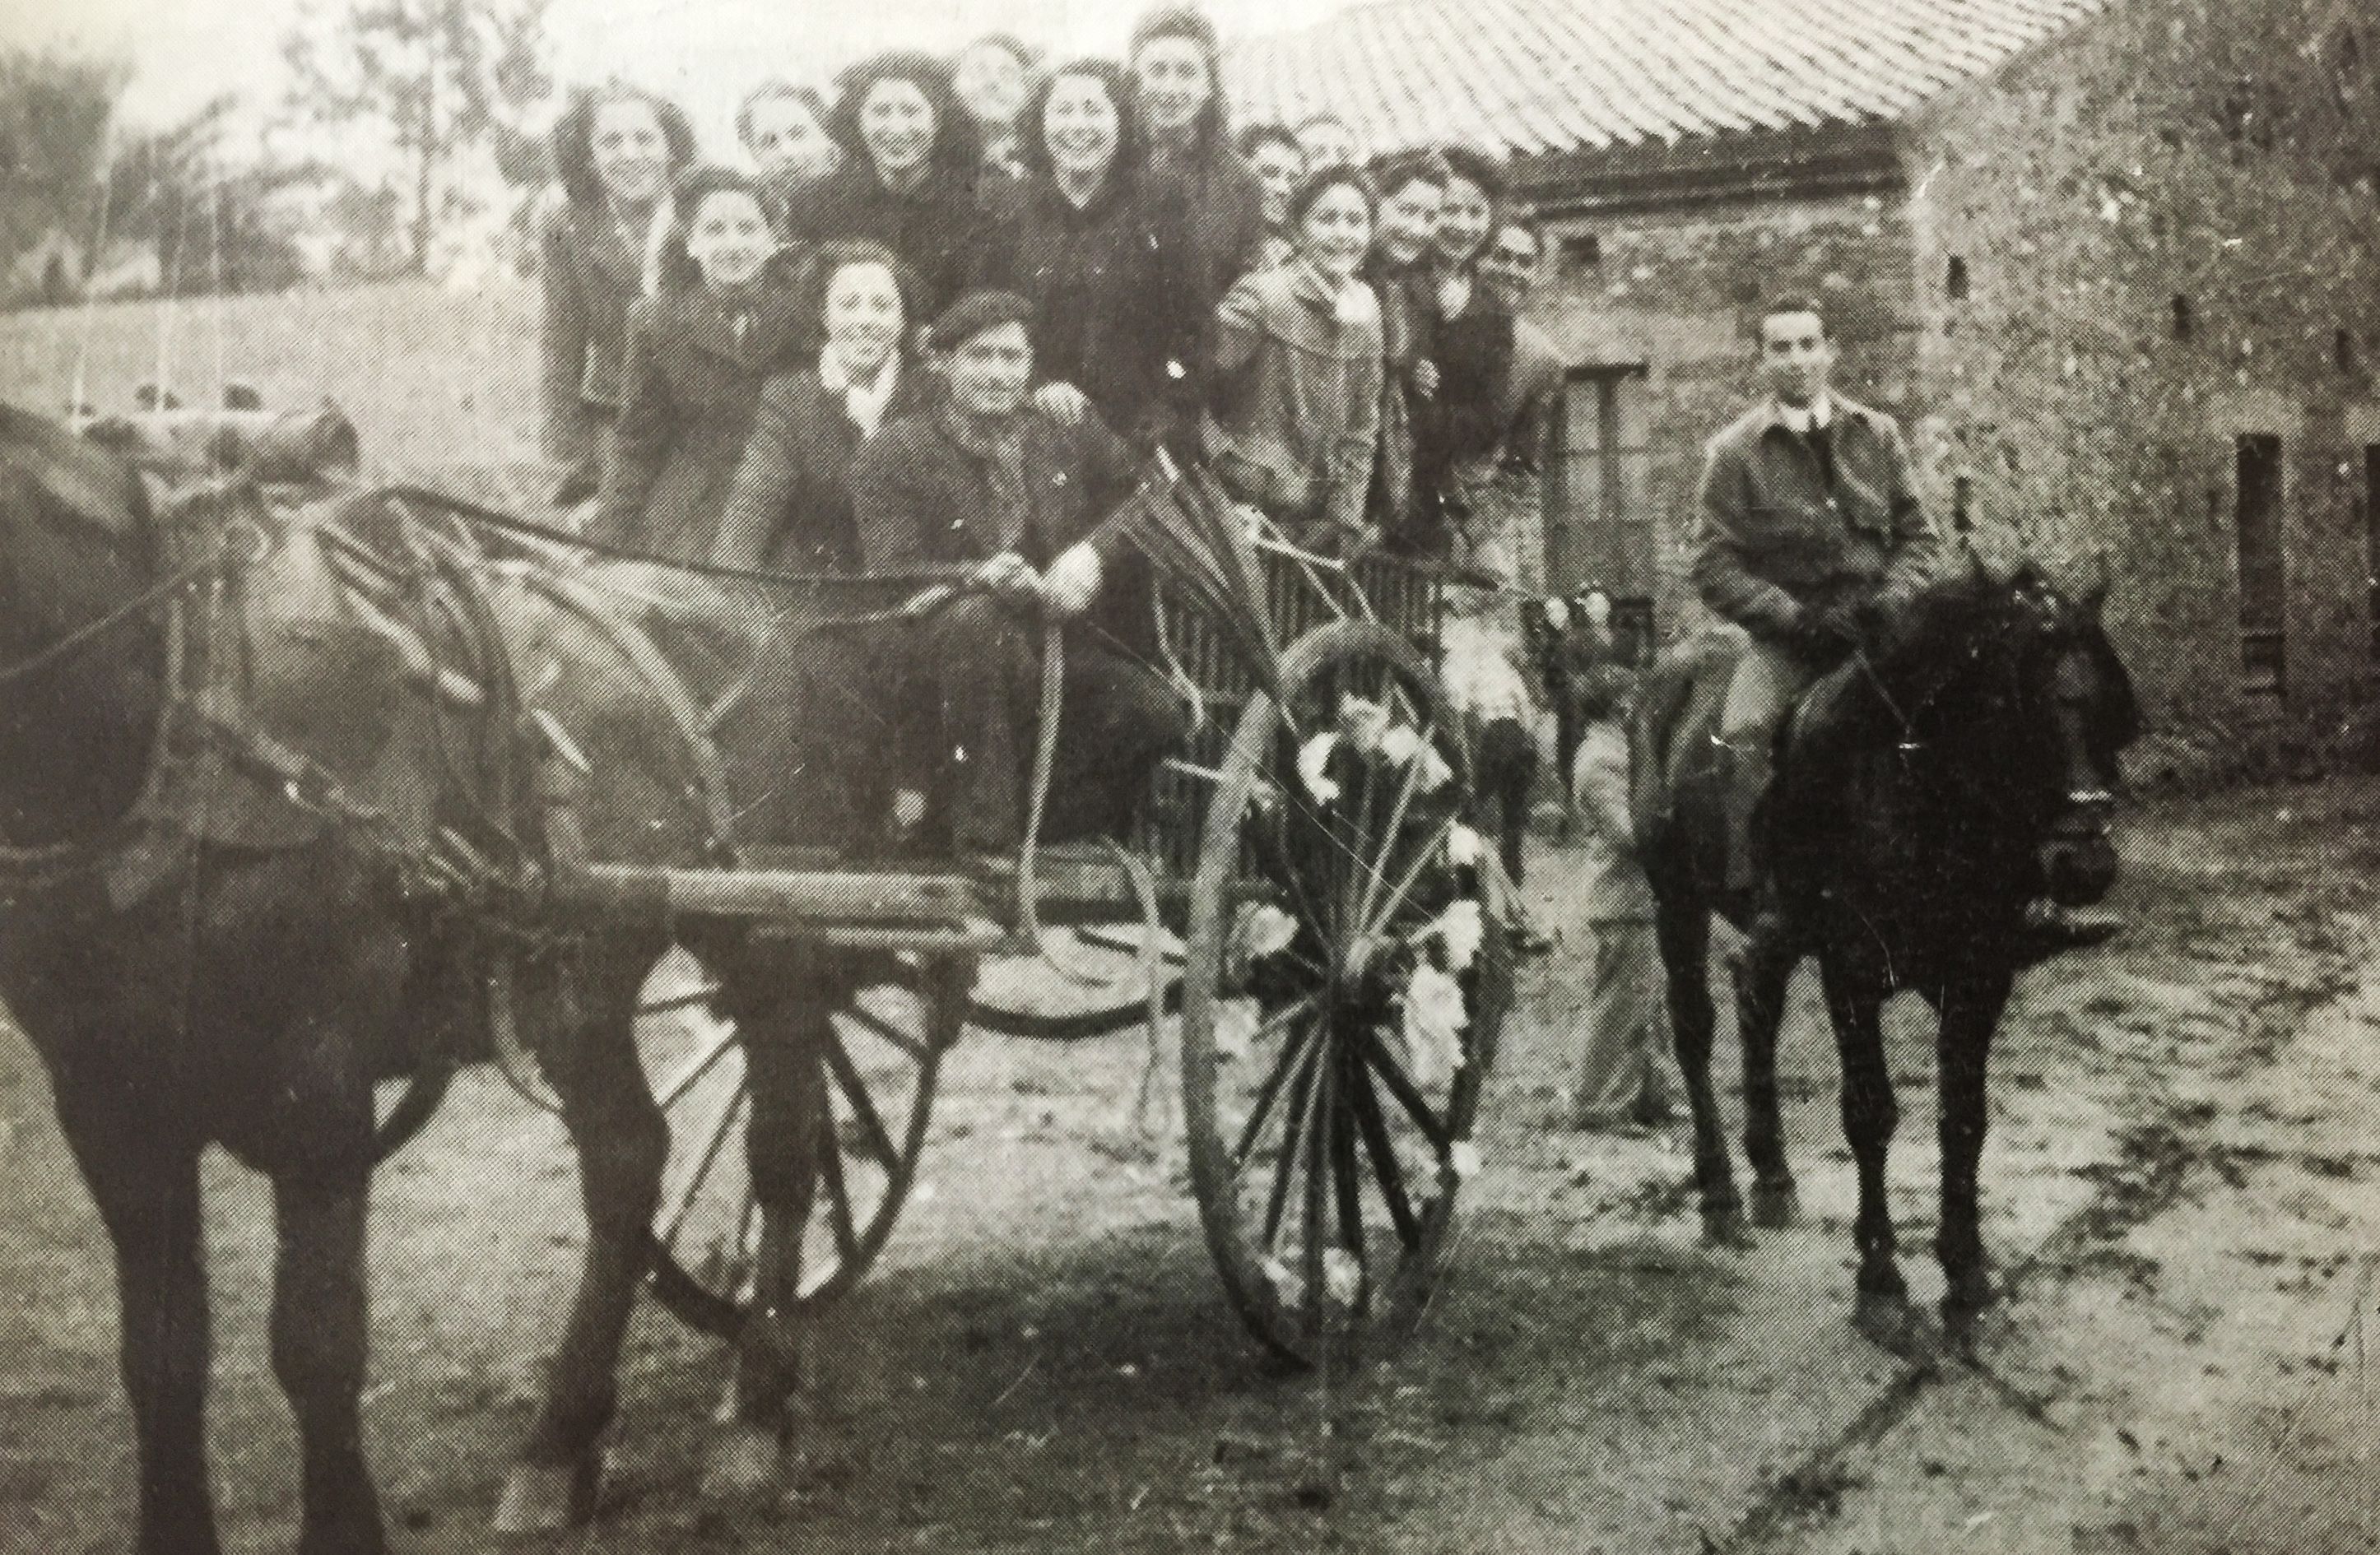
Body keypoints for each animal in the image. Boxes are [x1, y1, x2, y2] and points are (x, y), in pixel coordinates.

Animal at [1637, 561, 2141, 1350]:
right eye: (2017, 705)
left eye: (2106, 706)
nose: (2084, 864)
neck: (1918, 795)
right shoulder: (1851, 973)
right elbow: (1869, 1115)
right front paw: (1881, 1283)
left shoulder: (1977, 977)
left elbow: (1964, 1118)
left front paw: (1966, 1279)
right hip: (1676, 902)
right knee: (1694, 1028)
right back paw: (1718, 1194)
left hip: (1777, 932)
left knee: (1757, 996)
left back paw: (1771, 1176)